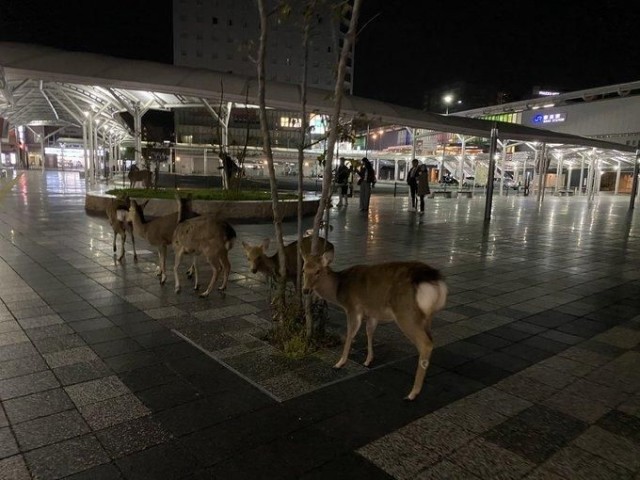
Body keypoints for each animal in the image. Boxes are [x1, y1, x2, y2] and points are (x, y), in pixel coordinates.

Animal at [302, 255, 448, 402]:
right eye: (303, 270)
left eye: (318, 271)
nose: (305, 290)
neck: (338, 289)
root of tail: (436, 281)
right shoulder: (373, 313)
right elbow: (369, 332)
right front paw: (368, 361)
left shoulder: (353, 308)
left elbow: (350, 334)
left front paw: (339, 363)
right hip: (426, 317)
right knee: (431, 340)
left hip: (406, 314)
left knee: (426, 344)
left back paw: (412, 394)